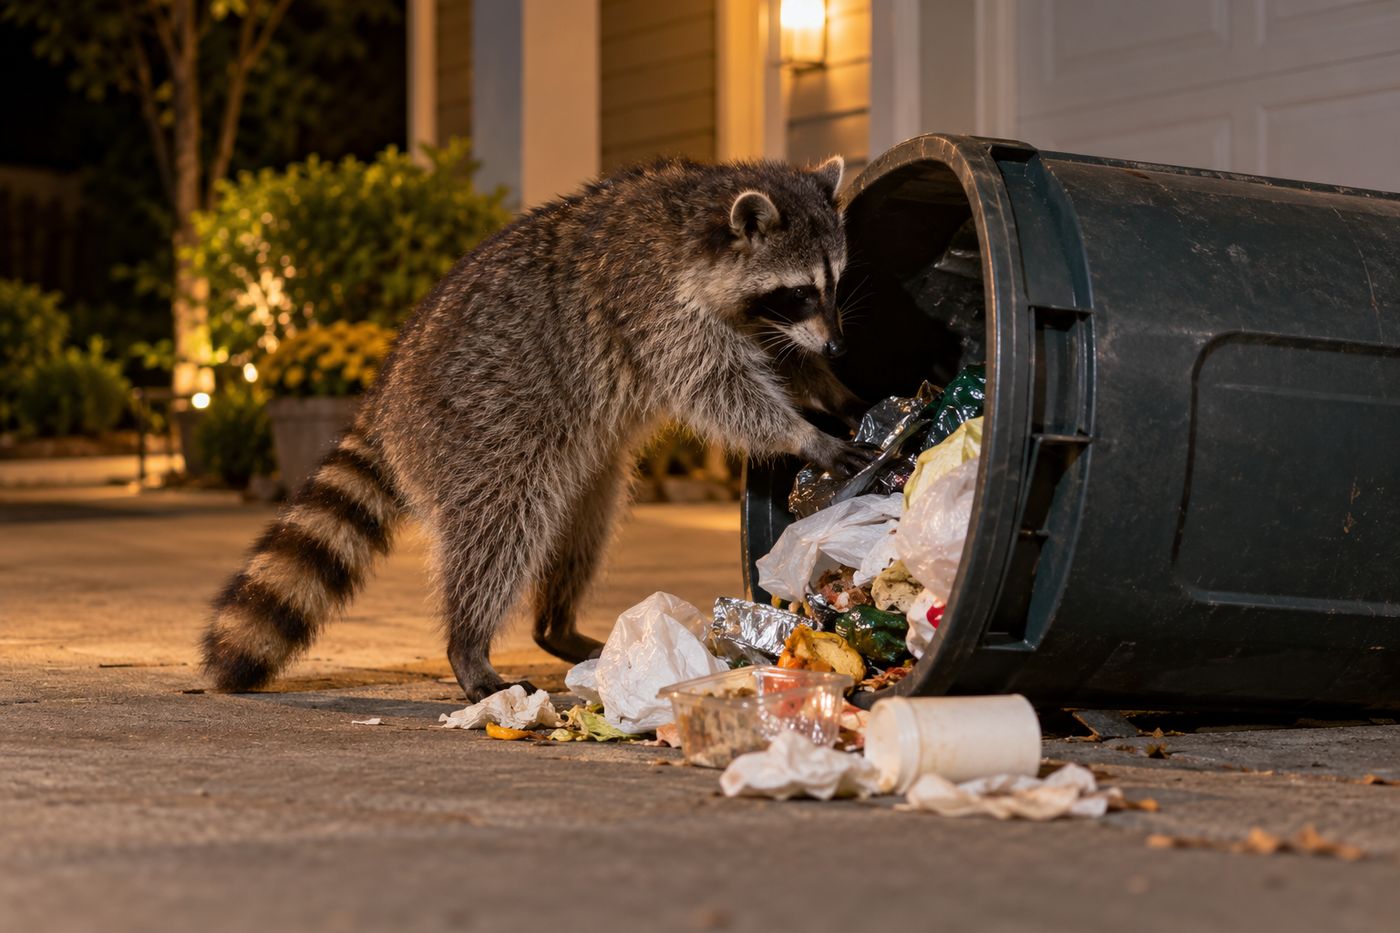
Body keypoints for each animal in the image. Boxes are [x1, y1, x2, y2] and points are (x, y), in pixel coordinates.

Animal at [203, 156, 868, 701]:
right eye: (799, 291)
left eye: (835, 284)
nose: (838, 345)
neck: (697, 222)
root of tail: (384, 397)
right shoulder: (652, 305)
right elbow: (717, 390)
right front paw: (802, 433)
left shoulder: (736, 314)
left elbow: (781, 359)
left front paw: (832, 388)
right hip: (481, 430)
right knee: (499, 528)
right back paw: (469, 643)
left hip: (580, 459)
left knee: (581, 528)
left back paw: (556, 626)